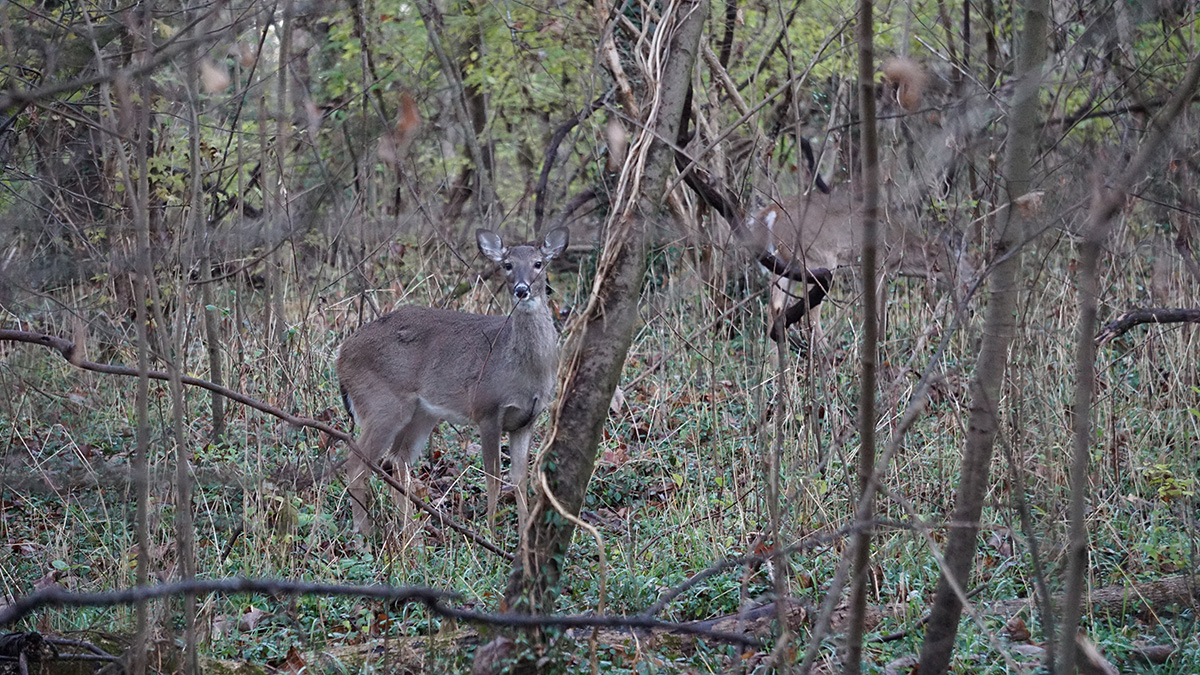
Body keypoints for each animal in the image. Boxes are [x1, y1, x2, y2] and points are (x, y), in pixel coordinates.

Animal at [336, 227, 569, 537]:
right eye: (507, 265)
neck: (525, 371)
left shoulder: (526, 420)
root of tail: (341, 355)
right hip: (381, 404)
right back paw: (364, 533)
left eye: (539, 263)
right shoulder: (487, 410)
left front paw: (522, 535)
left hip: (421, 414)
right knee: (356, 465)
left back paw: (412, 534)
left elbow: (520, 479)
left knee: (397, 462)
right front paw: (490, 534)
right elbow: (493, 477)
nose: (522, 289)